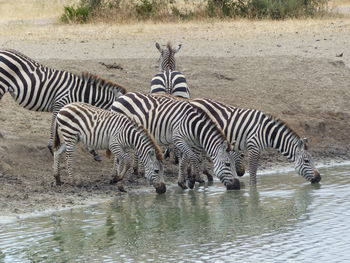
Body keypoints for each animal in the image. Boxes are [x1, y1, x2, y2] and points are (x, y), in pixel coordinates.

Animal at [111, 92, 241, 191]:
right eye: (228, 164)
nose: (237, 186)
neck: (194, 126)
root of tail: (122, 97)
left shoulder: (188, 142)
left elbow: (184, 161)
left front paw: (182, 182)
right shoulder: (178, 139)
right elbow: (193, 158)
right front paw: (194, 179)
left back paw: (117, 178)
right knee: (117, 157)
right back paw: (118, 180)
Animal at [190, 98, 322, 187]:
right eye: (306, 161)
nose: (319, 178)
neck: (268, 133)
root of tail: (194, 100)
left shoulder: (258, 149)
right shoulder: (253, 147)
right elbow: (253, 172)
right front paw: (253, 191)